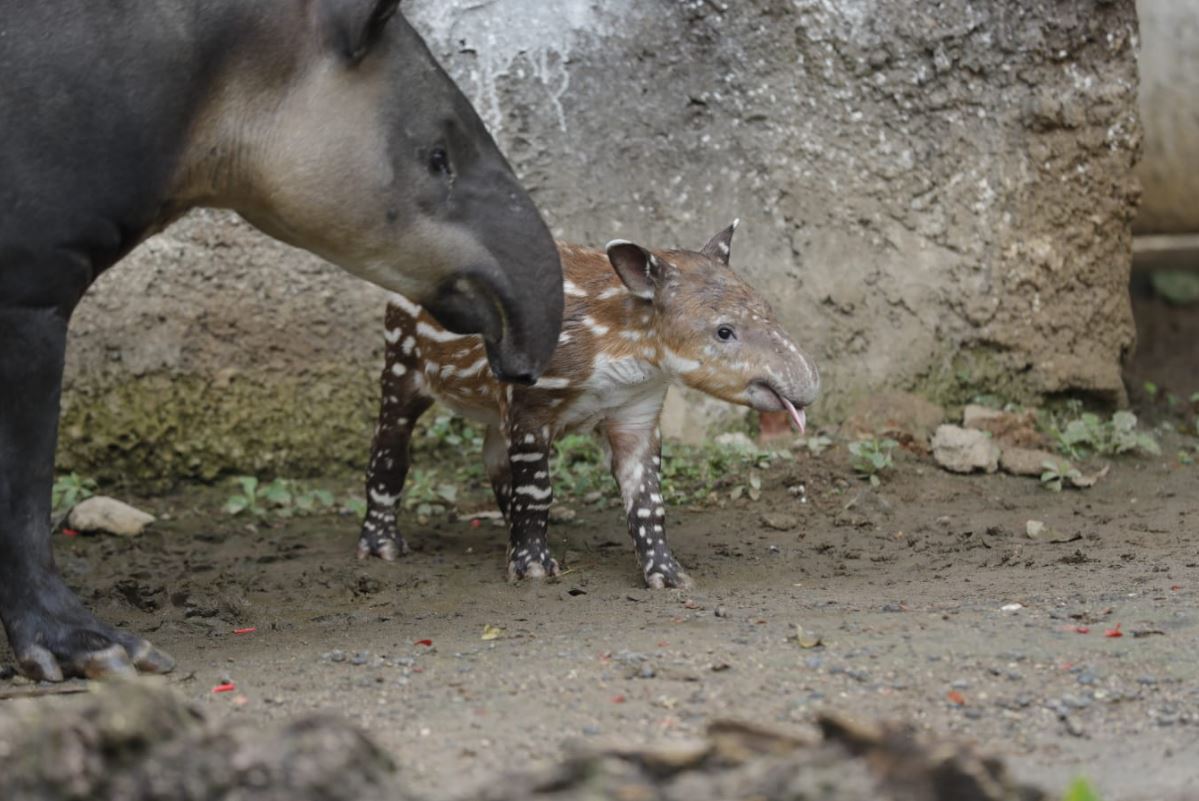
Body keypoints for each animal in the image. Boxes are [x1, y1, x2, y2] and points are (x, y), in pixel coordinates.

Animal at [359, 225, 820, 587]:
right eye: (724, 332)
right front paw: (533, 568)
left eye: (769, 309)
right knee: (391, 447)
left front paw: (669, 575)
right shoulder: (531, 405)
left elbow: (648, 501)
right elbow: (537, 488)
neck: (623, 340)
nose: (809, 384)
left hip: (493, 401)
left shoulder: (637, 410)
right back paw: (383, 545)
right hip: (402, 360)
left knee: (493, 455)